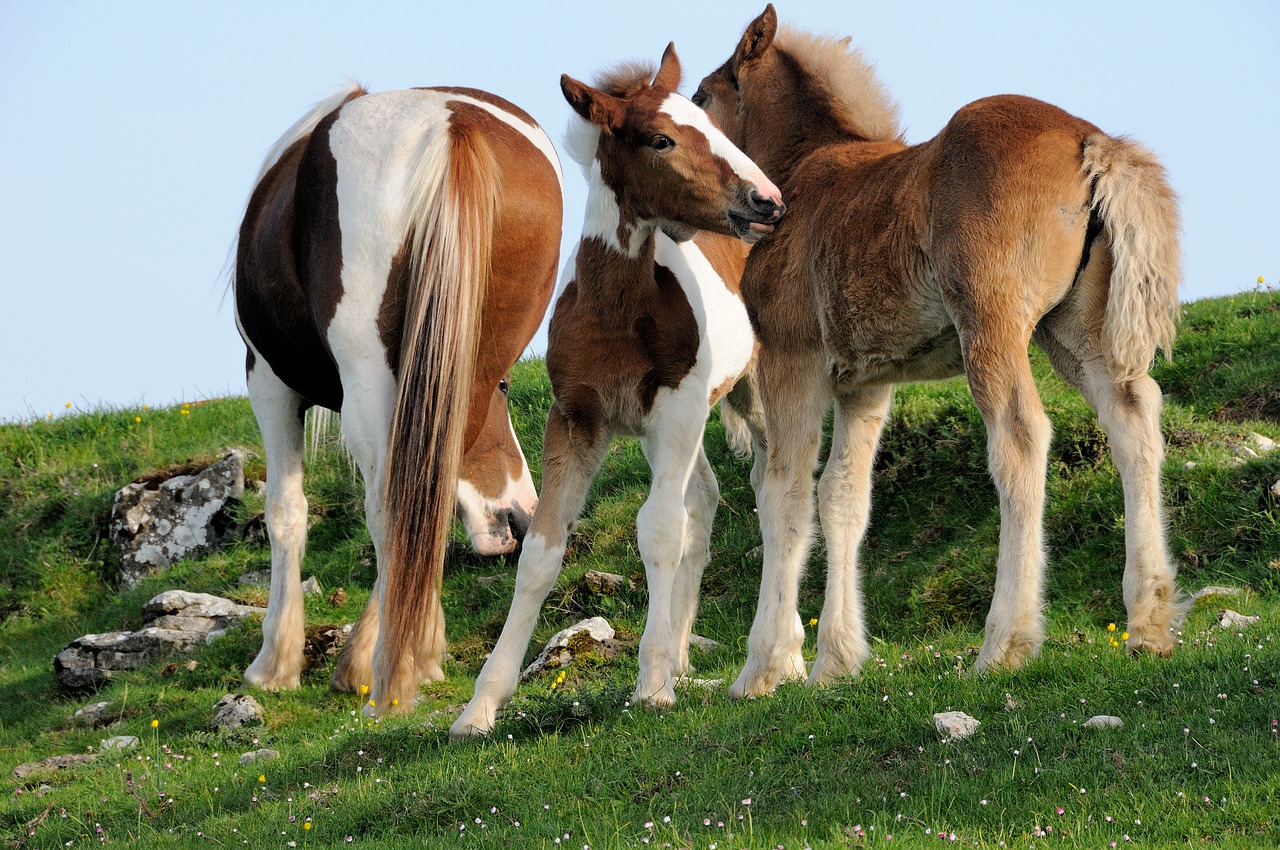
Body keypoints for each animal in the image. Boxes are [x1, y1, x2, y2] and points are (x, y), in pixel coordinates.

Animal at [450, 44, 788, 737]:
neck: (613, 309)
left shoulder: (677, 407)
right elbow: (540, 551)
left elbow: (657, 530)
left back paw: (777, 657)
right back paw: (685, 656)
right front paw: (480, 706)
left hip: (749, 397)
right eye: (661, 139)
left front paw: (652, 684)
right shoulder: (577, 418)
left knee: (777, 497)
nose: (766, 200)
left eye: (708, 122)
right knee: (705, 501)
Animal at [696, 8, 1182, 696]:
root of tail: (1092, 141)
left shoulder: (793, 359)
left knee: (1020, 436)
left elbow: (784, 493)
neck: (801, 170)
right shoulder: (864, 383)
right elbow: (843, 498)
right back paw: (1148, 622)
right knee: (1134, 420)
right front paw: (835, 661)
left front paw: (762, 668)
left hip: (991, 321)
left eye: (699, 100)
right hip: (1078, 332)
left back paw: (1005, 642)